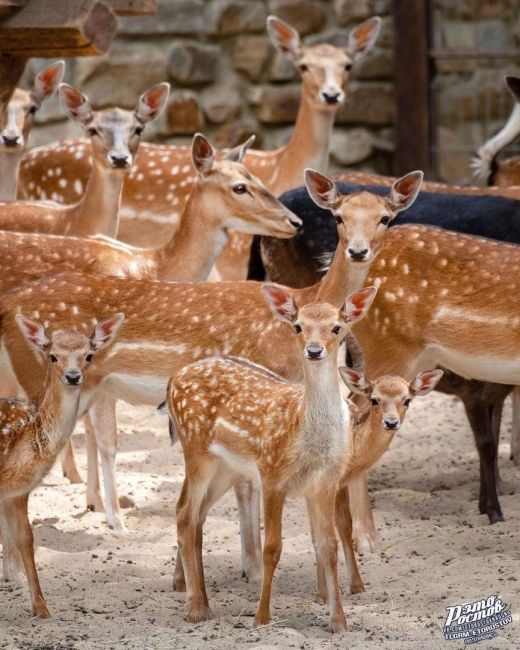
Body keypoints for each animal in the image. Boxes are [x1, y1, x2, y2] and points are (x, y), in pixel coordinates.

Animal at [0, 312, 123, 616]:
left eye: (89, 355)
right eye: (52, 356)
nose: (73, 376)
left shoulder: (15, 491)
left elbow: (18, 538)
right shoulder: (15, 484)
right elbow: (25, 540)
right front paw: (42, 608)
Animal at [169, 284, 376, 628]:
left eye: (337, 327)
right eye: (298, 326)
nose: (314, 350)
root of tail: (172, 379)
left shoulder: (325, 483)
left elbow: (327, 545)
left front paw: (338, 622)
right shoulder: (272, 474)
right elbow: (272, 547)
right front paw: (262, 617)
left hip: (226, 468)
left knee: (195, 515)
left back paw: (204, 603)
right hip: (196, 449)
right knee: (185, 513)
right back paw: (196, 608)